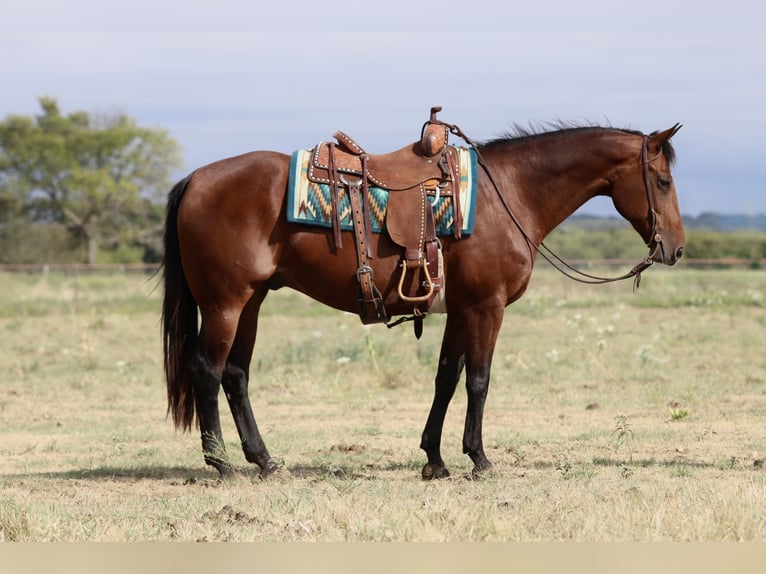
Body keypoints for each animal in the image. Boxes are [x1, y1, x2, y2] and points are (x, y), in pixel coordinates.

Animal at [161, 120, 685, 480]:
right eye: (662, 181)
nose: (676, 249)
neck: (509, 195)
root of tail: (196, 179)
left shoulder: (459, 310)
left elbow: (446, 379)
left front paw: (434, 458)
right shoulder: (486, 307)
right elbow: (478, 381)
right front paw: (479, 459)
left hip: (250, 303)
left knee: (235, 374)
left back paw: (264, 461)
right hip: (226, 304)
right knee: (208, 372)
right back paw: (222, 465)